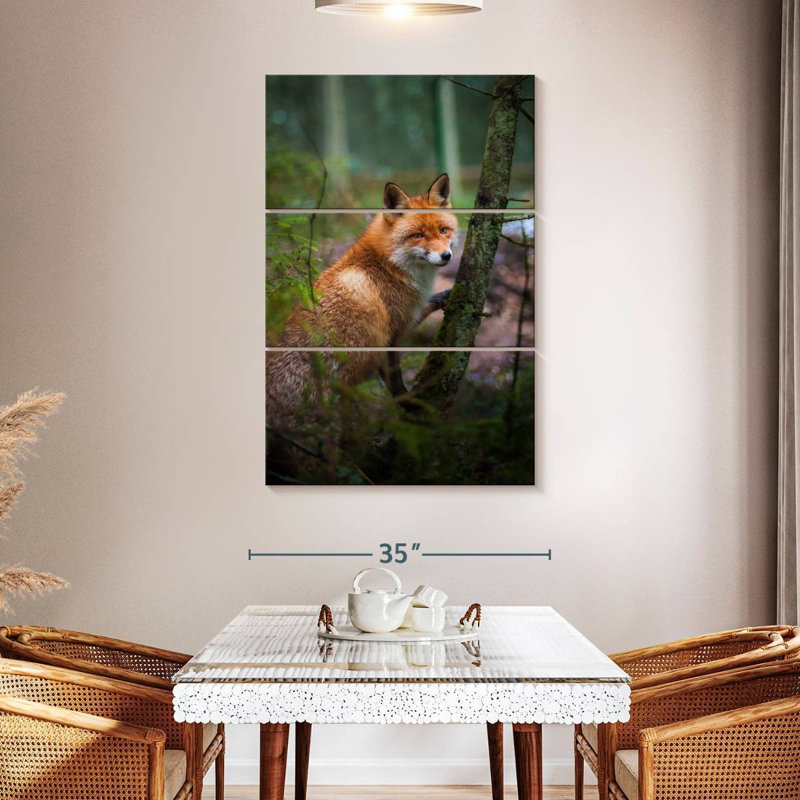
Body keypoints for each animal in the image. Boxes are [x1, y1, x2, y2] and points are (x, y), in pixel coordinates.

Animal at [266, 173, 458, 429]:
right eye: (417, 235)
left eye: (444, 230)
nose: (446, 256)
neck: (386, 265)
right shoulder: (392, 333)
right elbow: (395, 381)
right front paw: (409, 404)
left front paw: (443, 296)